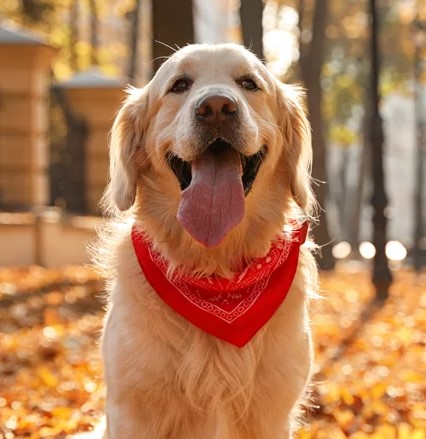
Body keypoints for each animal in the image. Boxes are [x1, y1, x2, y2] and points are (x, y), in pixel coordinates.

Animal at [91, 42, 318, 439]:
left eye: (249, 83)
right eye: (179, 85)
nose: (215, 107)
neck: (216, 272)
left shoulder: (273, 412)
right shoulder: (131, 408)